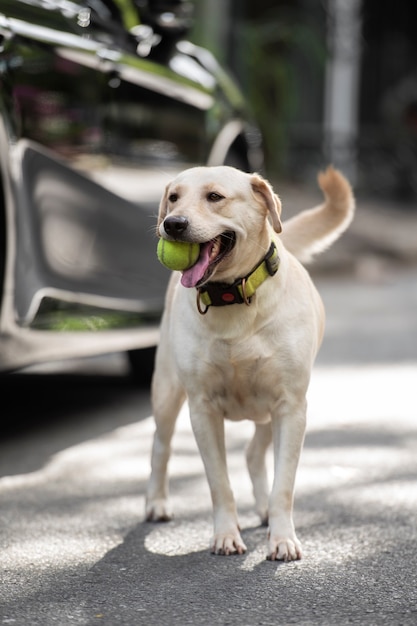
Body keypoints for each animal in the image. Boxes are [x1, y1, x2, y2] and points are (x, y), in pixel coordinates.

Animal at [146, 163, 354, 560]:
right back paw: (157, 502)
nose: (173, 224)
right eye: (174, 197)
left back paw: (264, 510)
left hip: (268, 413)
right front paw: (226, 535)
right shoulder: (203, 409)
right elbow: (219, 484)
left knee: (254, 454)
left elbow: (283, 484)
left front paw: (282, 537)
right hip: (166, 391)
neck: (232, 295)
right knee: (161, 445)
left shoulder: (290, 406)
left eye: (215, 197)